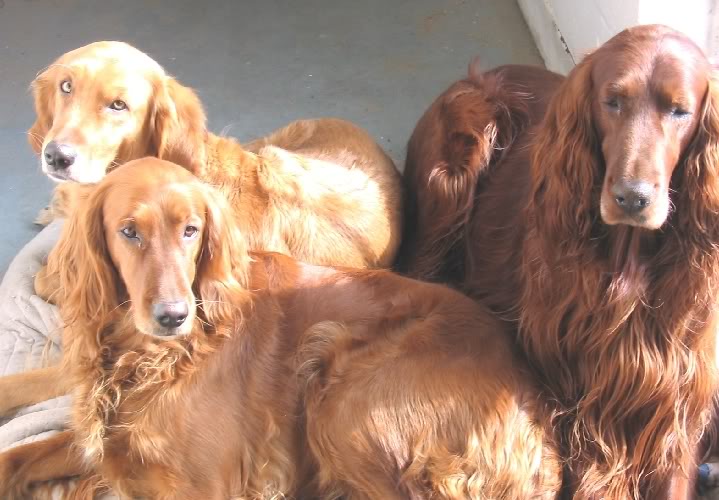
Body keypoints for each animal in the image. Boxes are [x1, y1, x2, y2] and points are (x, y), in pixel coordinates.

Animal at [400, 24, 719, 500]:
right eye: (612, 101)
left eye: (680, 110)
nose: (632, 197)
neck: (627, 270)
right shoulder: (573, 404)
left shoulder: (675, 410)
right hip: (460, 149)